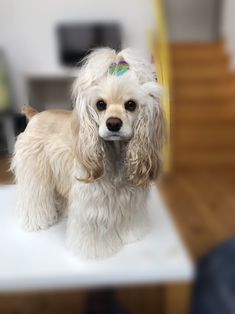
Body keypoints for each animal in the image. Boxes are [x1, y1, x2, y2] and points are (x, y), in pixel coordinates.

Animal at [11, 47, 165, 258]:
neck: (116, 154)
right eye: (100, 104)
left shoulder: (129, 198)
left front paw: (130, 235)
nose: (113, 124)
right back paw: (37, 221)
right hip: (34, 170)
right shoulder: (92, 200)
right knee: (34, 195)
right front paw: (96, 250)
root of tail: (35, 115)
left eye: (131, 104)